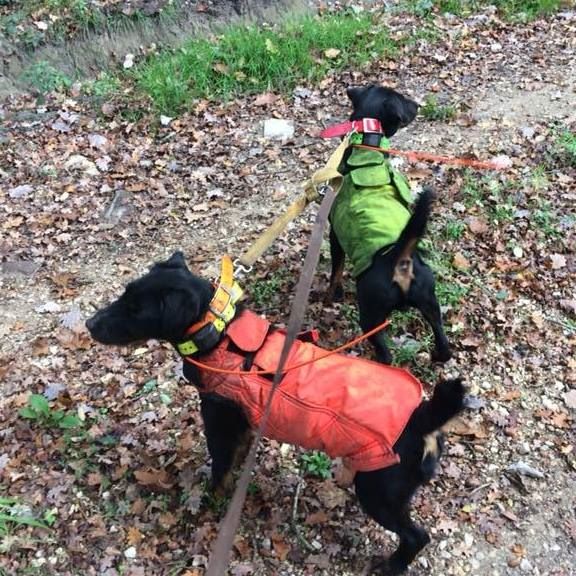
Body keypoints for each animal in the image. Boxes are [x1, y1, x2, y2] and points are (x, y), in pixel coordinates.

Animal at [85, 254, 464, 572]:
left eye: (136, 310)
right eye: (124, 294)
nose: (89, 324)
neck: (220, 337)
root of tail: (425, 418)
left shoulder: (220, 430)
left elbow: (219, 475)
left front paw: (207, 506)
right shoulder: (242, 429)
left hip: (379, 493)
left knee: (417, 536)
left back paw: (391, 567)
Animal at [326, 84, 452, 364]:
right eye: (402, 98)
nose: (417, 104)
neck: (367, 149)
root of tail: (399, 259)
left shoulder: (334, 235)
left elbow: (336, 270)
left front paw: (332, 293)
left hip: (371, 317)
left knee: (386, 356)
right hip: (430, 302)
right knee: (444, 343)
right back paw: (437, 356)